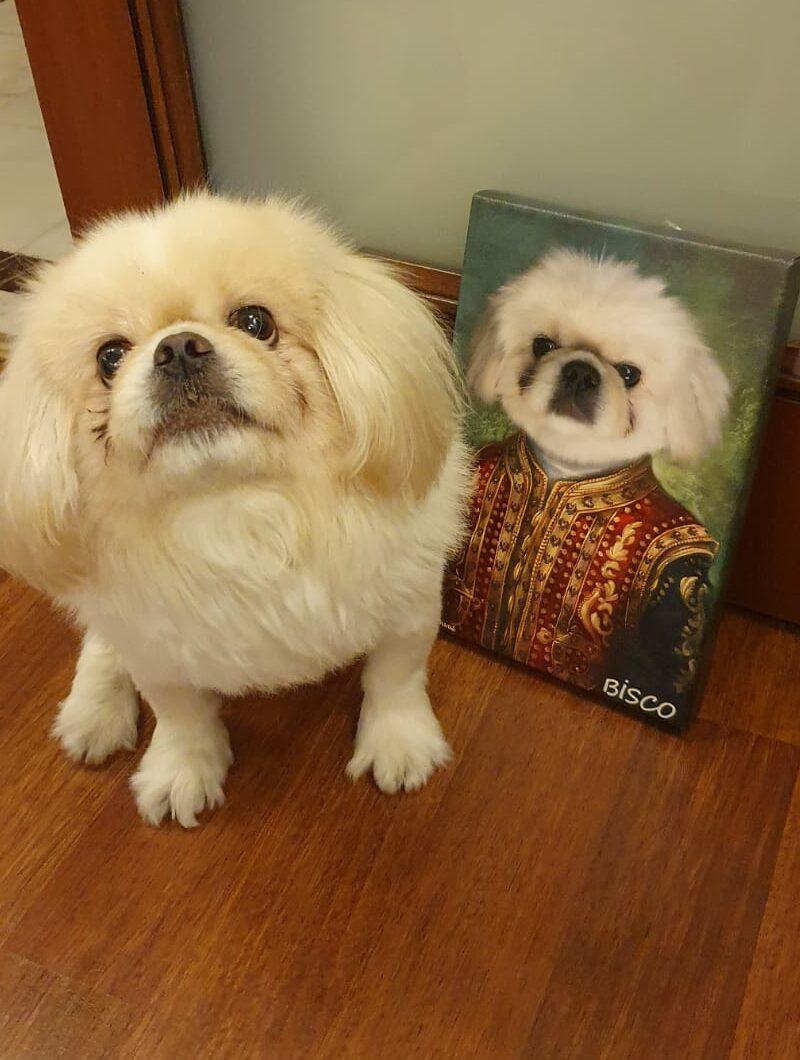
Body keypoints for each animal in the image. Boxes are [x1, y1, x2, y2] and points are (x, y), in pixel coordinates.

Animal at [0, 193, 469, 826]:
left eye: (254, 322)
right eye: (110, 357)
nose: (178, 348)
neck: (235, 510)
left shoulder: (408, 608)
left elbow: (394, 679)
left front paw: (398, 745)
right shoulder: (155, 650)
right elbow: (181, 716)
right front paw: (181, 772)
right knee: (100, 646)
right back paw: (93, 713)